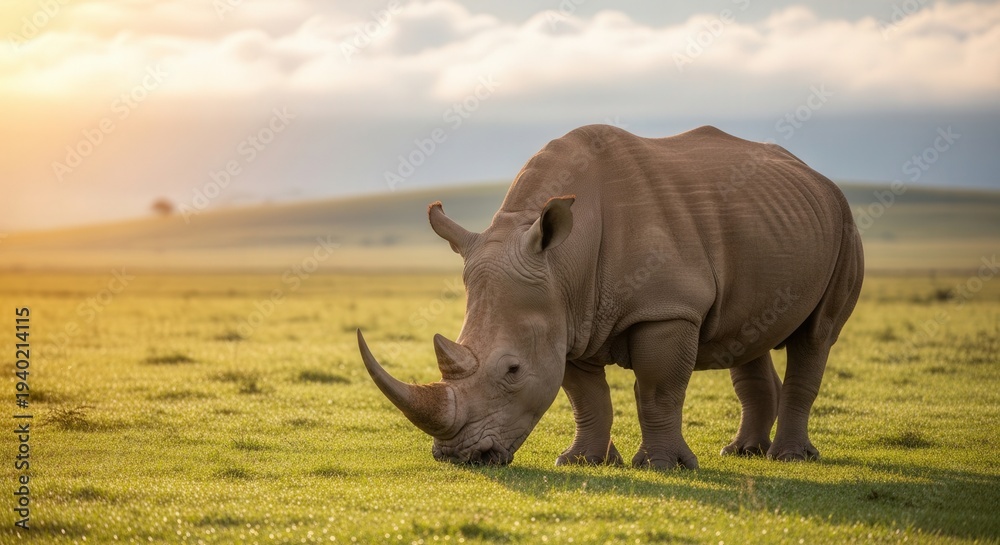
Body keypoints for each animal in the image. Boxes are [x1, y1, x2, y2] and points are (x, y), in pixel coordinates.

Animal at [357, 124, 864, 468]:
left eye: (513, 370)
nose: (458, 456)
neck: (562, 261)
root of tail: (817, 176)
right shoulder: (567, 315)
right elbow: (585, 396)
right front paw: (582, 461)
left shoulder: (667, 309)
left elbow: (659, 389)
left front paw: (661, 466)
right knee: (749, 334)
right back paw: (742, 452)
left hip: (844, 222)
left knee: (816, 336)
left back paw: (788, 458)